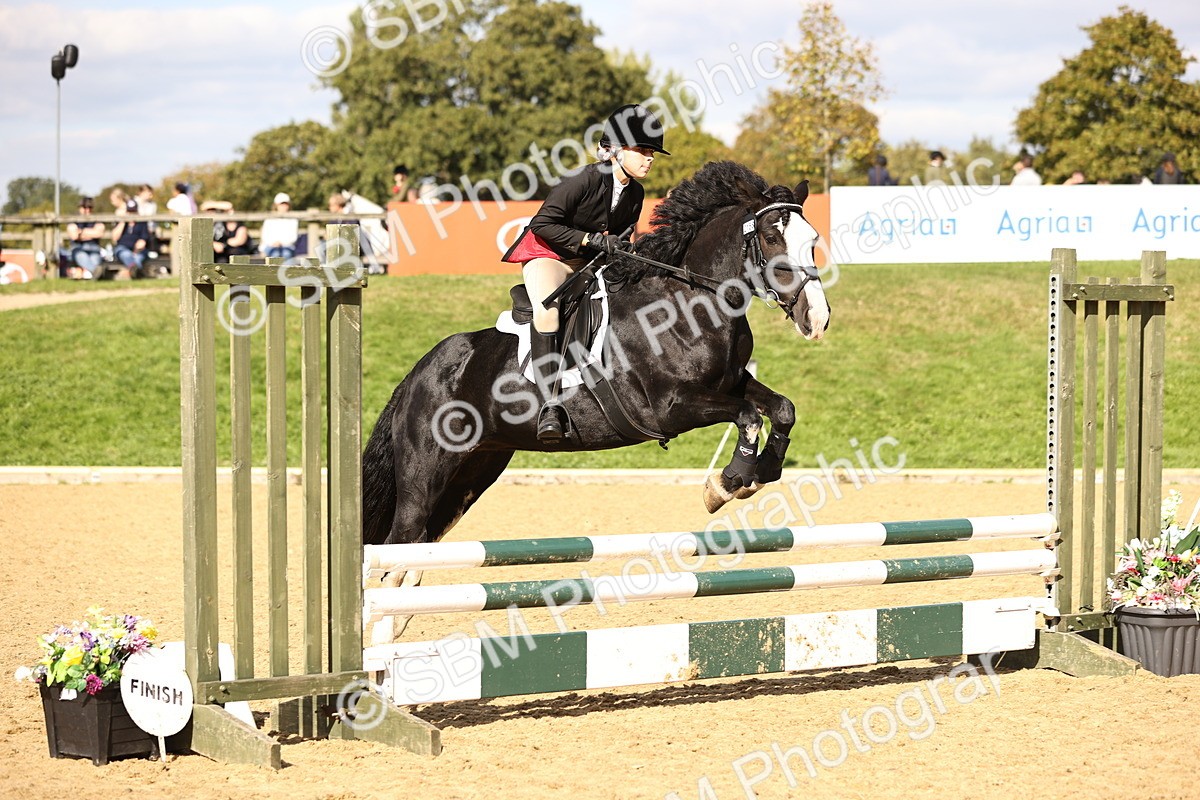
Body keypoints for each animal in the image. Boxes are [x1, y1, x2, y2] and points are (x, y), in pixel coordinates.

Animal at [362, 160, 831, 550]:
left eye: (813, 239)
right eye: (770, 237)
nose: (817, 318)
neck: (690, 301)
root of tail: (418, 374)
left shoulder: (732, 382)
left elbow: (781, 408)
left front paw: (762, 471)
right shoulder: (670, 408)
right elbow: (748, 416)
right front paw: (729, 481)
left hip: (474, 471)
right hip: (426, 471)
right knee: (400, 540)